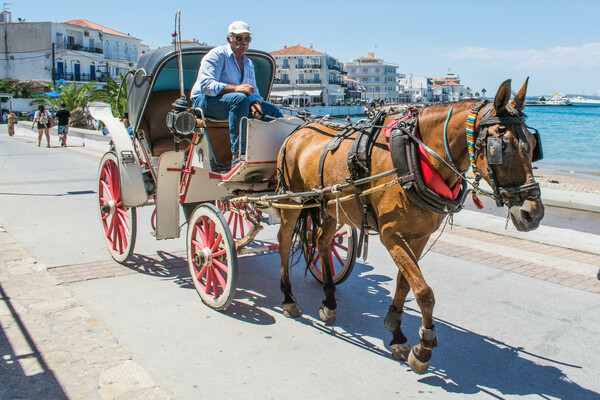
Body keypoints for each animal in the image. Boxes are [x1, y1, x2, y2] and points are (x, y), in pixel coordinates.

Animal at [276, 79, 544, 376]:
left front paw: (396, 333)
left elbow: (406, 283)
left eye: (534, 144)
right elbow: (424, 293)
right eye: (502, 146)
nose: (533, 213)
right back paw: (288, 298)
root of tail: (298, 129)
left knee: (322, 242)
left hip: (332, 206)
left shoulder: (419, 236)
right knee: (284, 242)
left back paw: (329, 301)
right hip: (290, 201)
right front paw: (423, 347)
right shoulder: (391, 235)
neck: (416, 156)